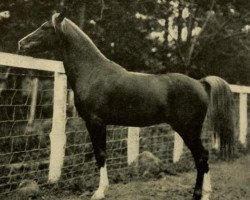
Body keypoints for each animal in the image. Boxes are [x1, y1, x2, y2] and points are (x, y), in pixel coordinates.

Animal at [18, 12, 235, 200]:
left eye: (45, 27)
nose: (21, 44)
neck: (93, 72)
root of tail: (200, 83)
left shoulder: (96, 122)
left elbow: (101, 155)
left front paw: (100, 192)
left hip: (188, 129)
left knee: (202, 157)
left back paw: (199, 195)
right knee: (203, 158)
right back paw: (206, 192)